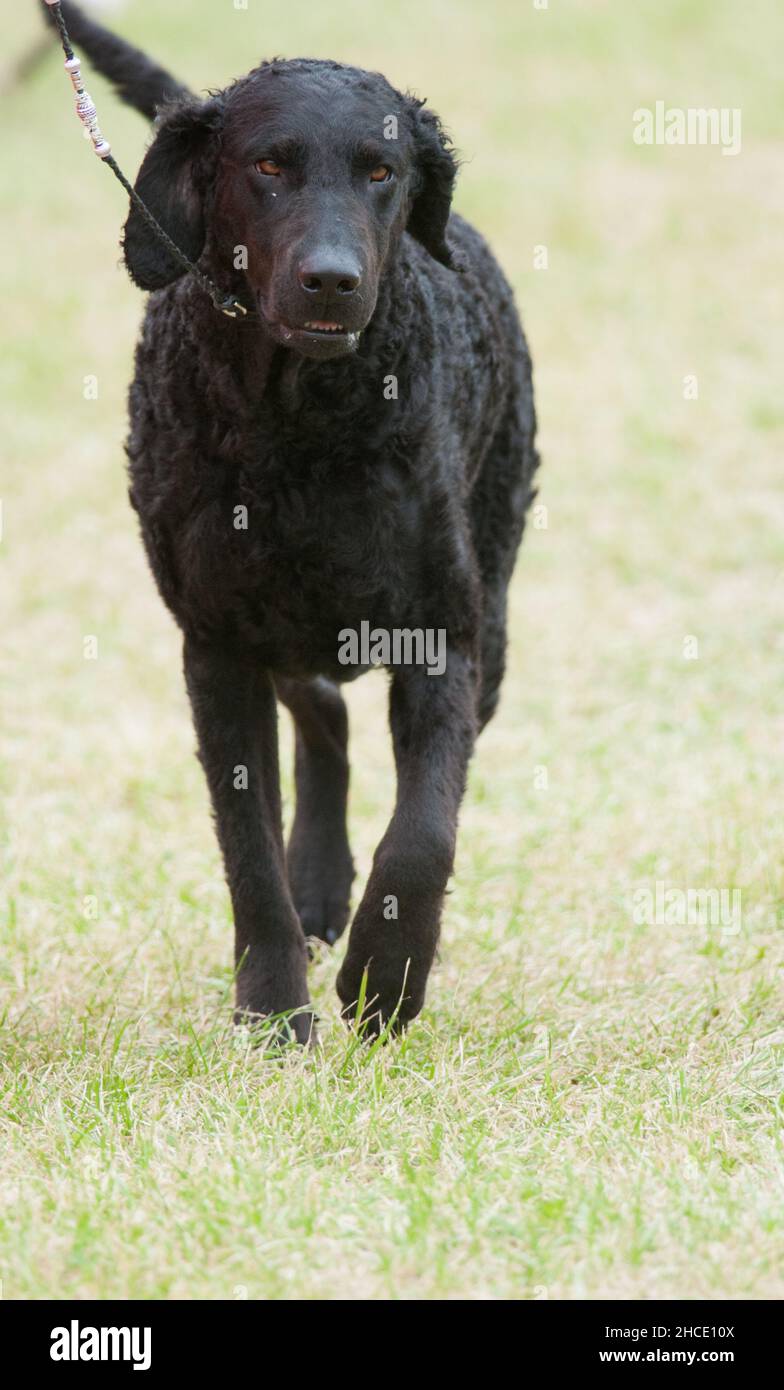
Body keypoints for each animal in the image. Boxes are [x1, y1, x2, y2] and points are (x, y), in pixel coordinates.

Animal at [47, 2, 539, 1045]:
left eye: (382, 171)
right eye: (268, 165)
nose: (332, 280)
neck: (299, 425)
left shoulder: (445, 634)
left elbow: (423, 835)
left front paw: (386, 982)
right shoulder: (217, 647)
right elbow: (247, 854)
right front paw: (275, 1010)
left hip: (489, 609)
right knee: (322, 717)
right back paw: (317, 888)